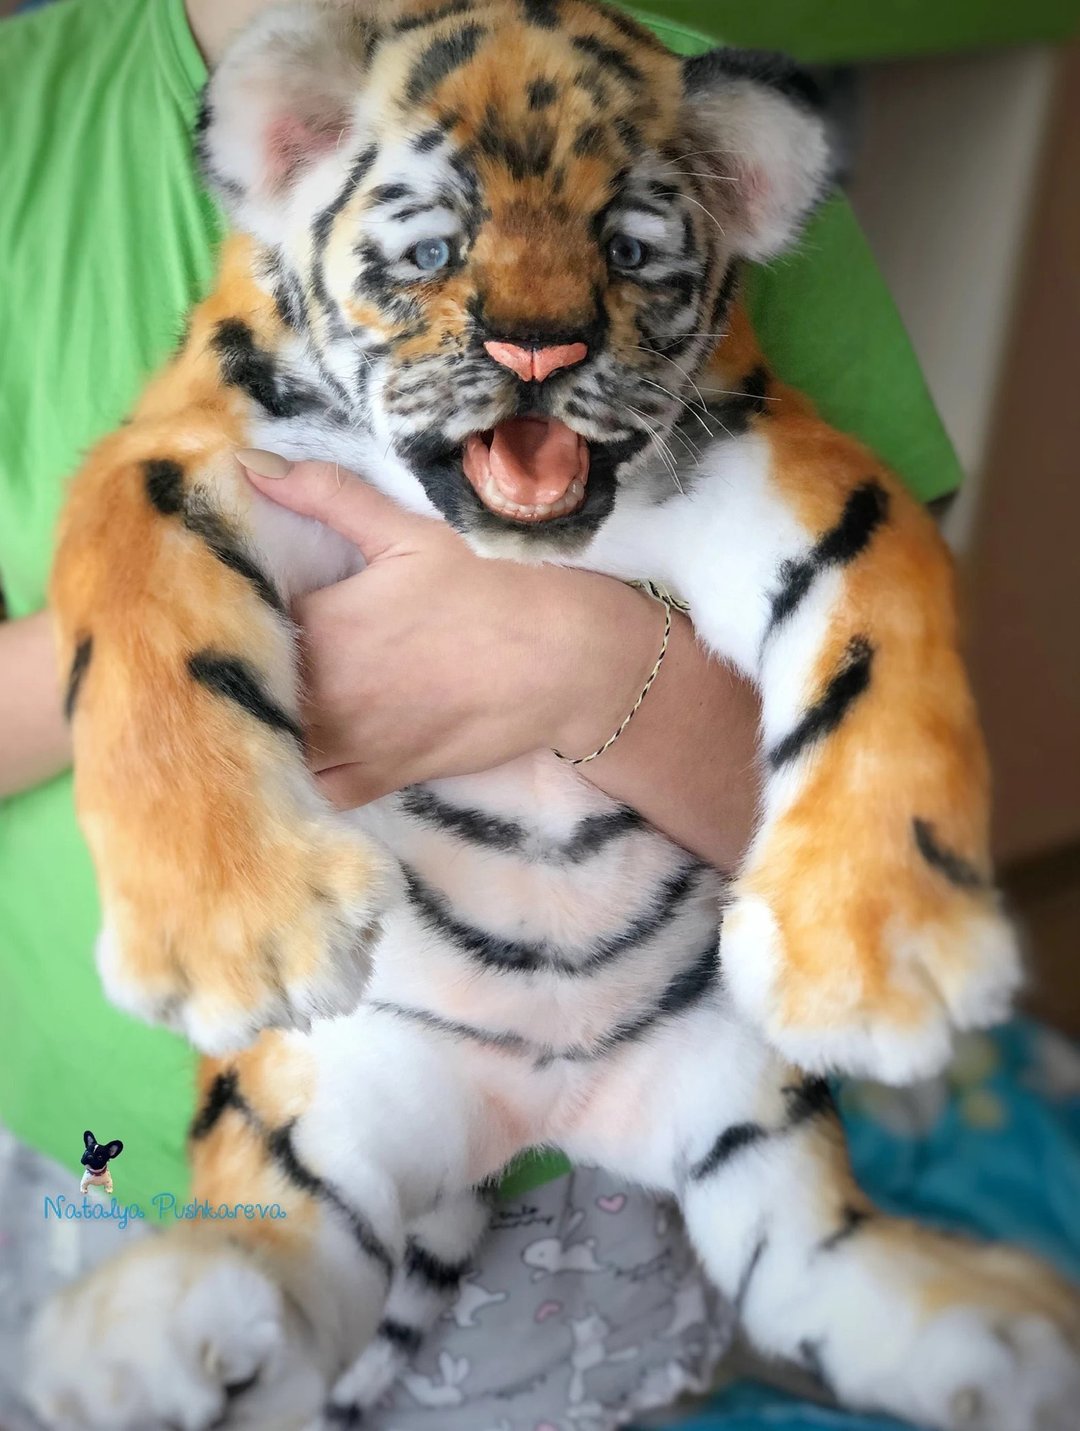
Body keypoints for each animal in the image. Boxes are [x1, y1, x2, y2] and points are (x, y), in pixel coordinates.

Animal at [28, 1, 1080, 1428]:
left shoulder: (790, 471)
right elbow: (153, 646)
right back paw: (136, 1338)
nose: (539, 349)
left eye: (628, 250)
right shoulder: (190, 455)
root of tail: (535, 1114)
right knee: (286, 1251)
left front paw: (885, 955)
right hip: (322, 1094)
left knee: (803, 1258)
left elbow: (879, 648)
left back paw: (998, 1331)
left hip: (741, 1082)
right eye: (433, 250)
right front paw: (234, 935)